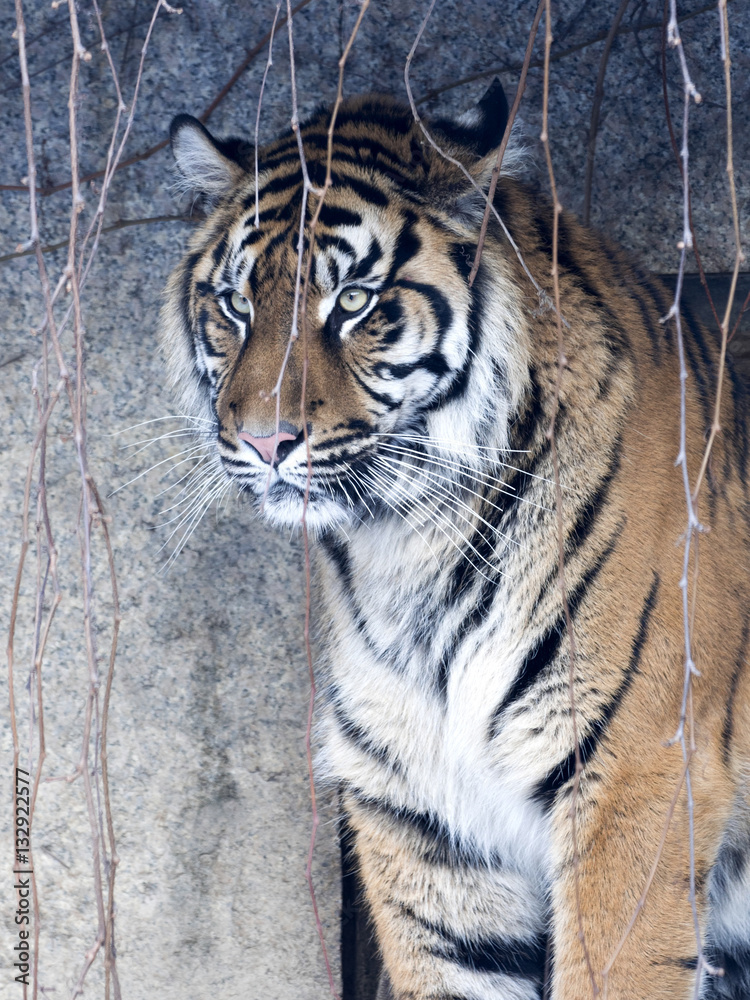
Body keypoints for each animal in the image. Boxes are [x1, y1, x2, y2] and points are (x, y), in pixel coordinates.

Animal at [160, 80, 750, 1000]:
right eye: (235, 304)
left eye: (354, 302)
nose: (264, 441)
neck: (407, 544)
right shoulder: (425, 815)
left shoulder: (636, 777)